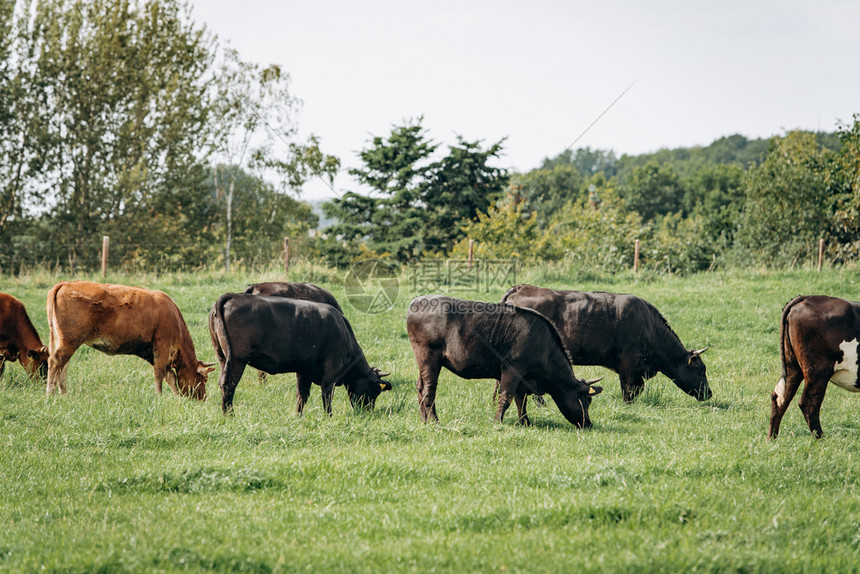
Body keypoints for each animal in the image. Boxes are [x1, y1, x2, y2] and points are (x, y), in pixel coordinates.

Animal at [46, 282, 215, 400]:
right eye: (205, 379)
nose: (204, 399)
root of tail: (65, 284)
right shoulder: (162, 345)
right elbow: (159, 374)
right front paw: (159, 396)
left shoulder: (154, 352)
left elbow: (170, 377)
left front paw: (177, 397)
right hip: (70, 341)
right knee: (55, 361)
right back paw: (50, 394)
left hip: (65, 341)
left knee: (63, 365)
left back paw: (63, 393)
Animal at [210, 294, 392, 416]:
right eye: (376, 389)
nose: (368, 412)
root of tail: (233, 296)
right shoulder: (330, 371)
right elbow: (327, 395)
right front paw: (329, 417)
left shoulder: (304, 371)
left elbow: (302, 396)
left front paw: (298, 416)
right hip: (237, 360)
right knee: (228, 385)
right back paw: (230, 415)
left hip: (223, 359)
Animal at [404, 296, 600, 428]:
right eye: (585, 399)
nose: (588, 424)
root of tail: (416, 302)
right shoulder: (512, 369)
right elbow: (506, 397)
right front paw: (498, 422)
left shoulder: (523, 378)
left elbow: (521, 400)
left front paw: (525, 423)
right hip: (429, 358)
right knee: (429, 390)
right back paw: (434, 421)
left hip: (423, 361)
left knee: (420, 387)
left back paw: (424, 420)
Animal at [768, 296, 860, 440]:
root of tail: (806, 297)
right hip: (817, 371)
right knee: (808, 404)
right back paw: (821, 439)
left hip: (792, 367)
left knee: (779, 398)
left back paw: (772, 440)